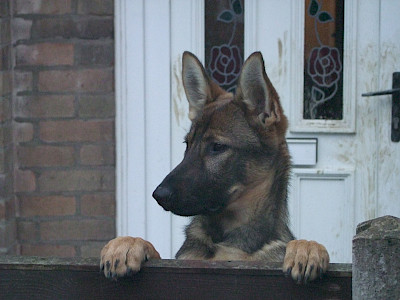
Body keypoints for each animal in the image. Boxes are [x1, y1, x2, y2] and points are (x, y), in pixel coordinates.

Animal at [100, 51, 328, 284]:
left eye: (217, 147)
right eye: (187, 144)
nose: (159, 195)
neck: (226, 238)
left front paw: (307, 247)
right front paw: (129, 243)